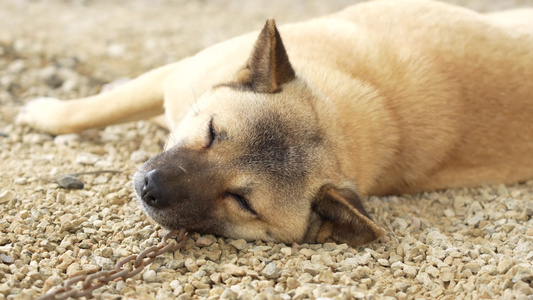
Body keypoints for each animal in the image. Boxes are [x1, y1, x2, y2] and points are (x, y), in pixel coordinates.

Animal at [15, 1, 532, 247]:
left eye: (242, 201)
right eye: (212, 133)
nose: (149, 188)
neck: (350, 113)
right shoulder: (177, 76)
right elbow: (95, 109)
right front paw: (49, 113)